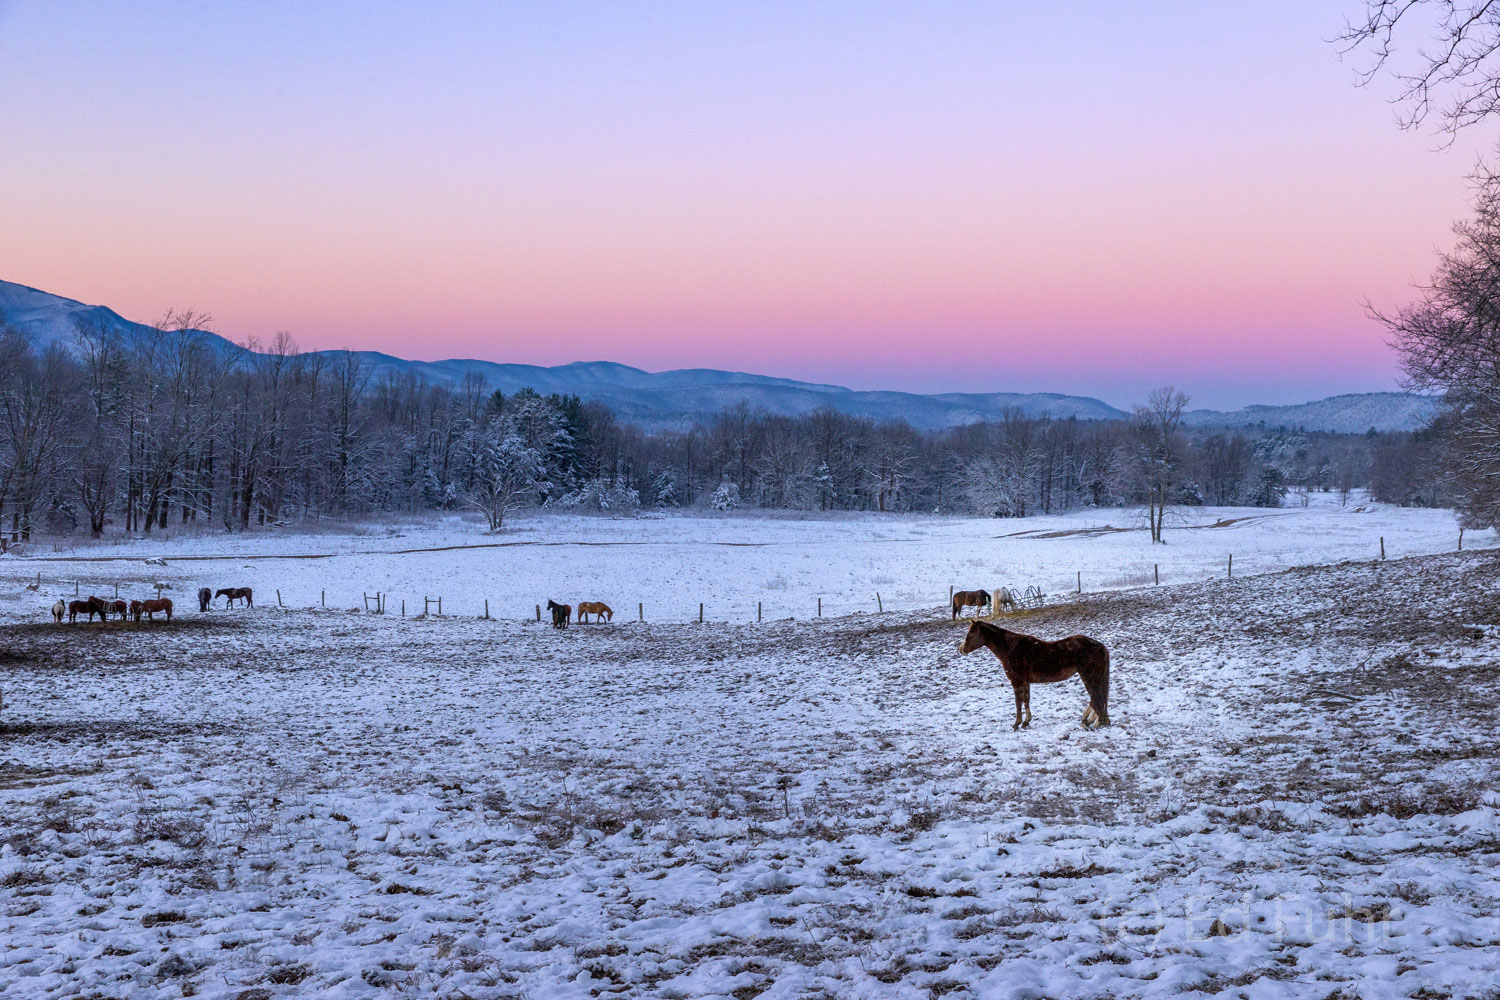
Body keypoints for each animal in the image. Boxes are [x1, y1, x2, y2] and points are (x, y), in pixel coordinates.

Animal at [954, 620, 1110, 731]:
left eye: (971, 634)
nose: (961, 649)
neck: (1011, 648)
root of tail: (1100, 645)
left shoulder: (1016, 682)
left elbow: (1018, 702)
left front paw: (1016, 723)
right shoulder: (1025, 682)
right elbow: (1026, 700)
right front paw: (1026, 722)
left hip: (1089, 676)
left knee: (1096, 697)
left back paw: (1093, 722)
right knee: (1097, 698)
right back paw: (1092, 720)